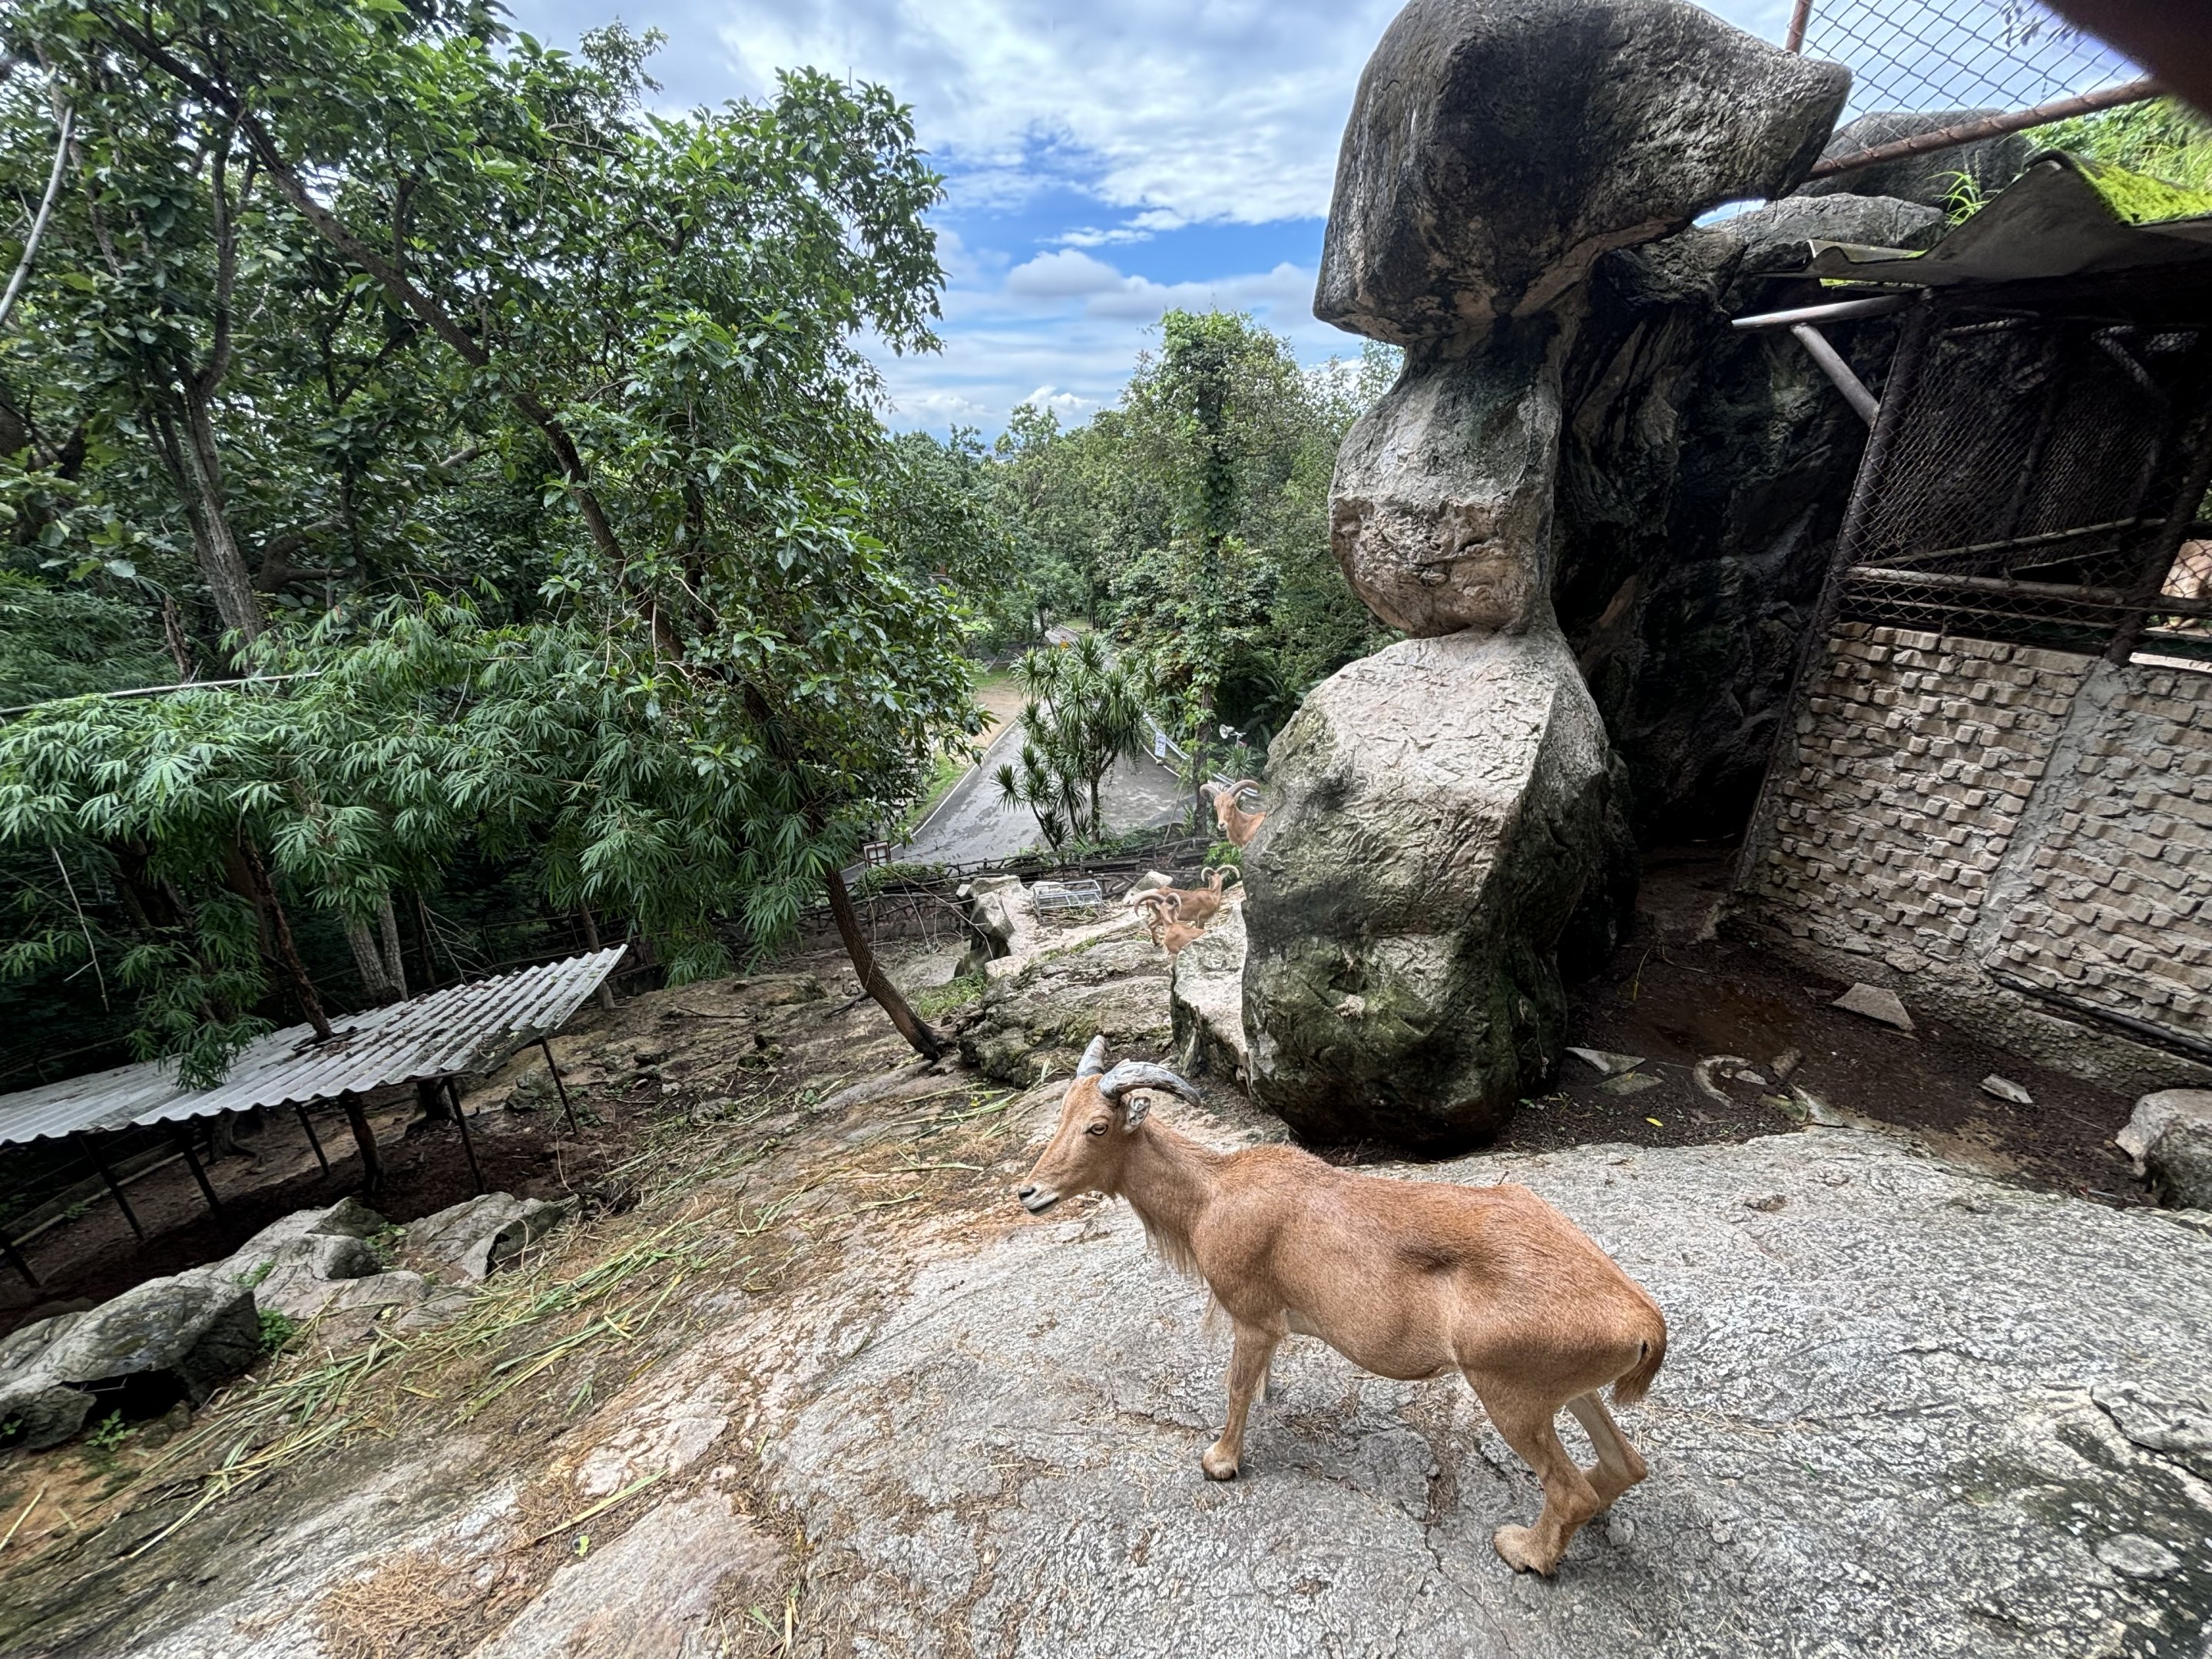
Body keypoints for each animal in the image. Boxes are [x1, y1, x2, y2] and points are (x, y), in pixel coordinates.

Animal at [1015, 1038, 1668, 1577]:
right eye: (1061, 1116)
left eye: (1098, 1126)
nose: (1029, 1193)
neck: (1211, 1196)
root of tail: (1645, 1322)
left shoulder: (1251, 1316)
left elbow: (1235, 1388)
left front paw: (1220, 1461)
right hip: (1565, 1391)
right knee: (1623, 1467)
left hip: (1511, 1392)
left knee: (1571, 1490)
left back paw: (1524, 1551)